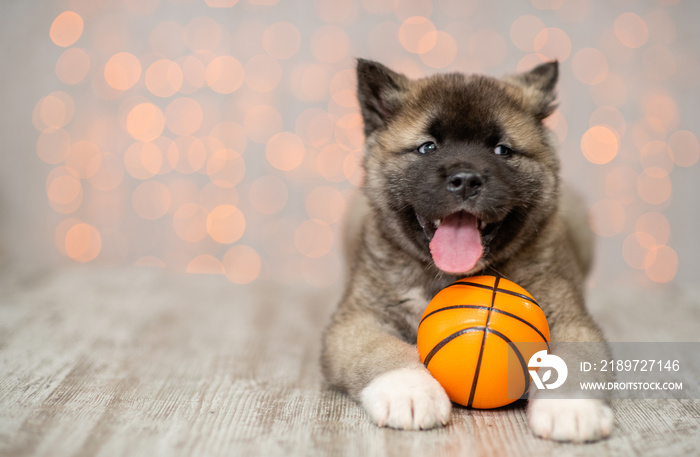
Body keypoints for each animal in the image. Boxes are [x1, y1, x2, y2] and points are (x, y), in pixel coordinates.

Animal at [322, 58, 612, 440]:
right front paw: (410, 392)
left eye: (502, 150)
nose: (465, 180)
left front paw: (571, 408)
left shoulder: (571, 318)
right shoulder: (356, 321)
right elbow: (381, 351)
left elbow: (575, 359)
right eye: (427, 147)